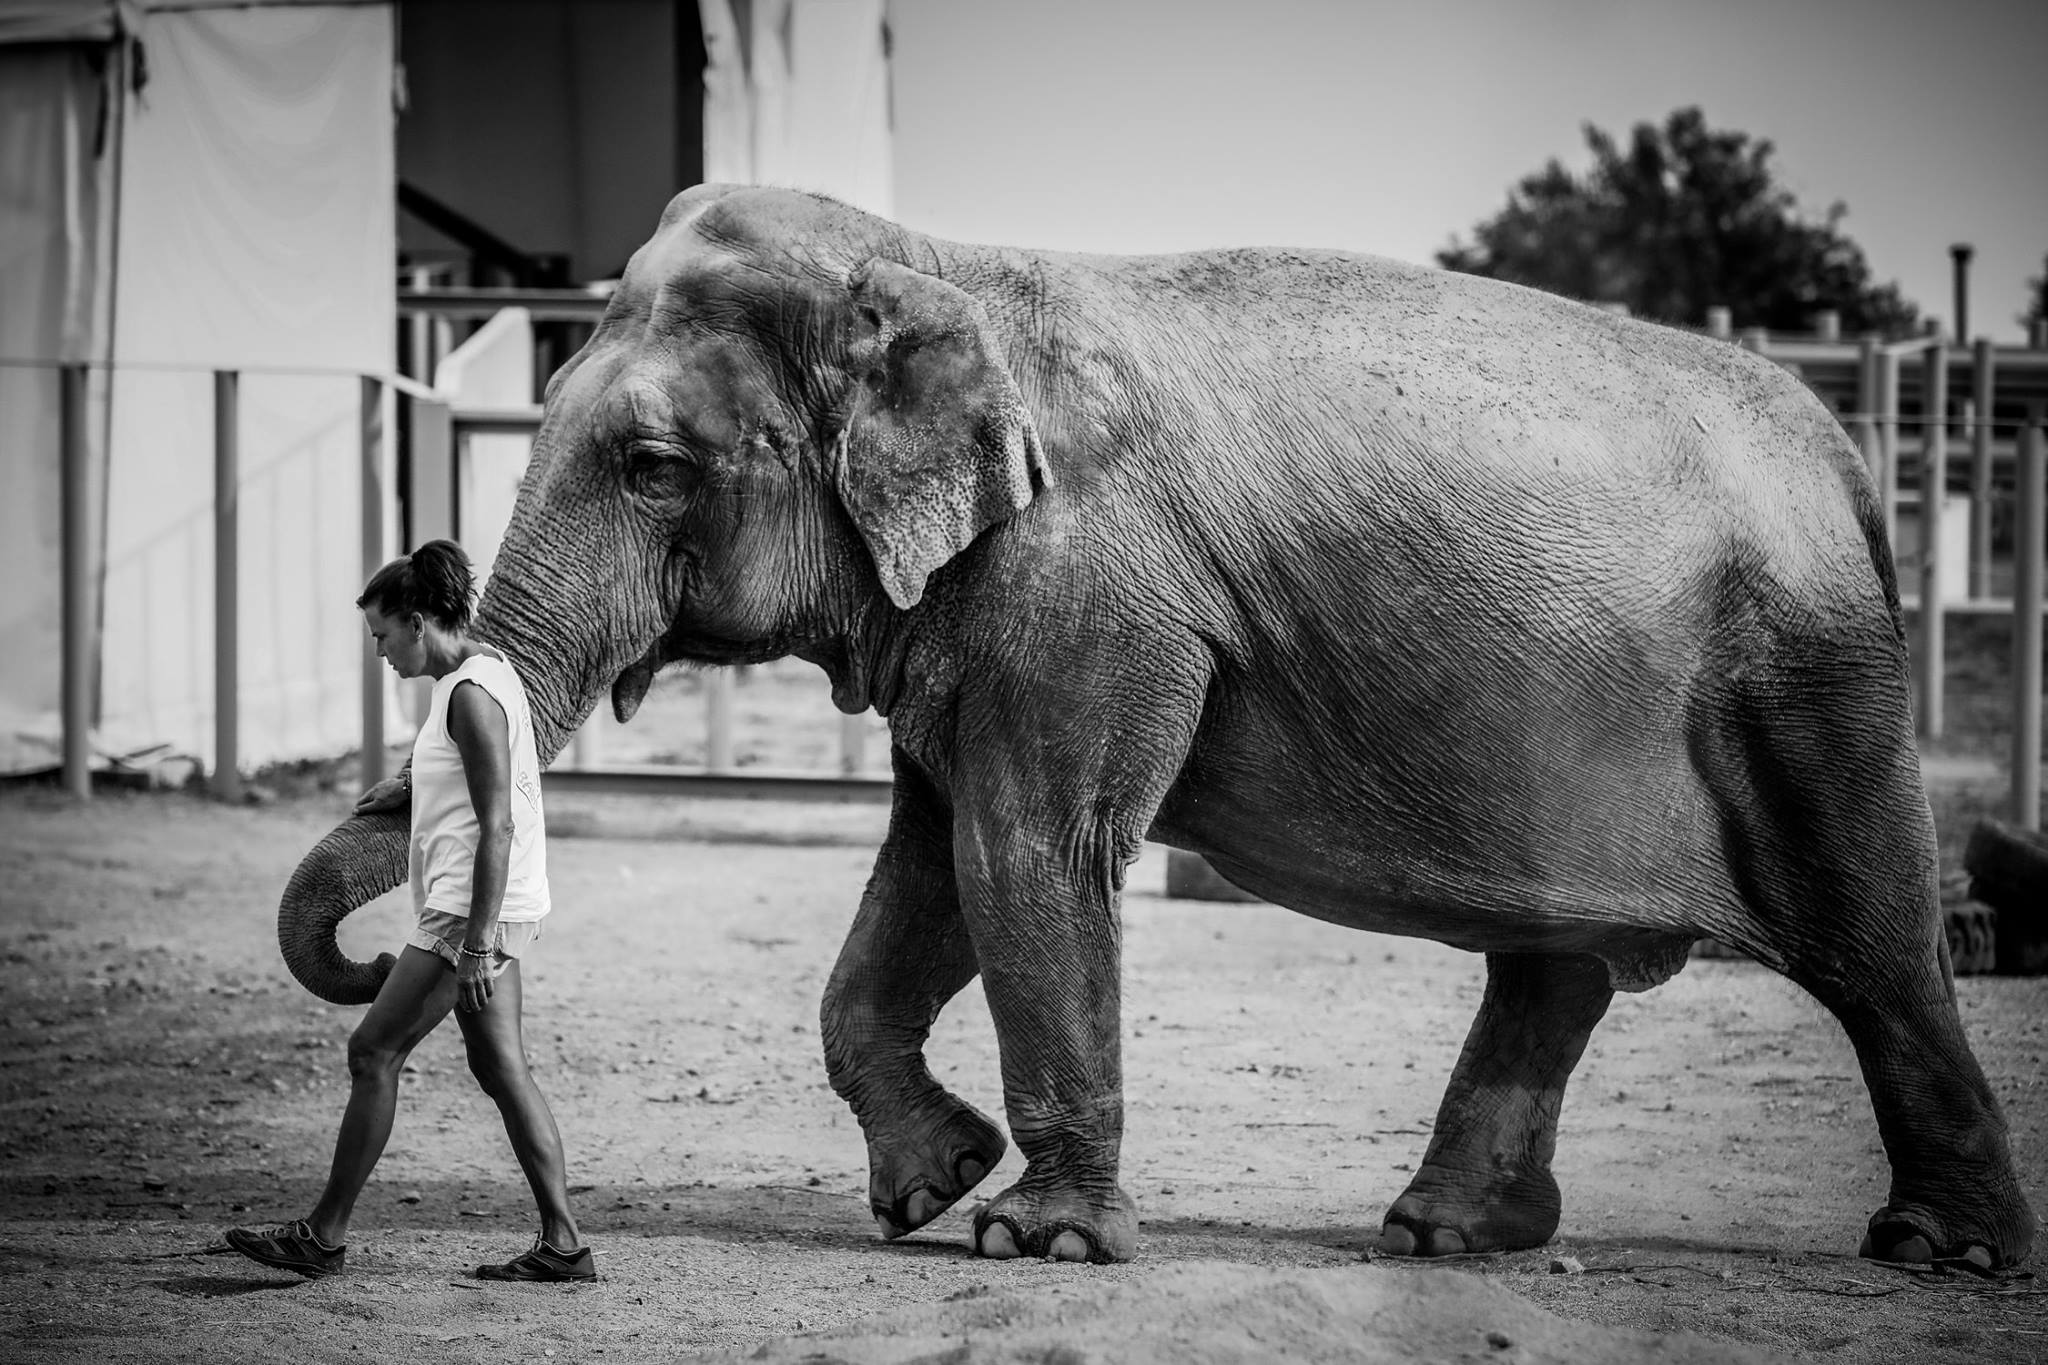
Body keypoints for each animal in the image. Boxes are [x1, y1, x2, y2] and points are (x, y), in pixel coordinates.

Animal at [280, 181, 2039, 1268]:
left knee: (1879, 943)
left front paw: (1034, 1241)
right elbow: (934, 866)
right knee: (1555, 967)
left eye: (652, 465)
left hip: (1806, 679)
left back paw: (1938, 1250)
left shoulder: (1084, 588)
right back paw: (1441, 1234)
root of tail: (1849, 460)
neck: (934, 256)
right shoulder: (979, 610)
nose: (382, 961)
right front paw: (931, 1188)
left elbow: (1026, 852)